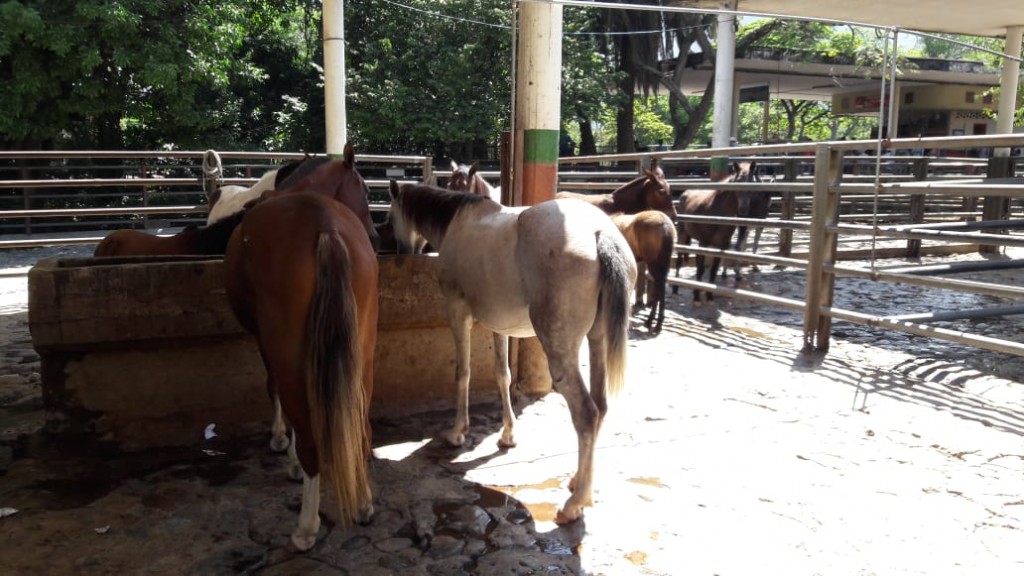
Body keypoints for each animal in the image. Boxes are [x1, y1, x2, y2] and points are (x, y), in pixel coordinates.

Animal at [223, 191, 379, 551]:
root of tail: (325, 226)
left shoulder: (266, 343)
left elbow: (274, 389)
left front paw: (282, 442)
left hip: (289, 356)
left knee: (310, 442)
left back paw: (306, 527)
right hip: (362, 358)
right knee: (362, 429)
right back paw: (364, 504)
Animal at [387, 181, 636, 525]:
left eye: (389, 216)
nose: (400, 253)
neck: (458, 219)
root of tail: (600, 235)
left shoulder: (458, 312)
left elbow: (462, 372)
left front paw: (457, 432)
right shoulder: (499, 325)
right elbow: (502, 376)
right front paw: (507, 435)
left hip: (561, 350)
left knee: (586, 413)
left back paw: (575, 505)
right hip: (596, 340)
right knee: (600, 407)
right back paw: (578, 482)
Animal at [674, 161, 760, 306]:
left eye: (752, 182)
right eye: (738, 181)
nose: (743, 209)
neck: (717, 212)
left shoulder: (721, 247)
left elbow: (713, 271)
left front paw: (709, 296)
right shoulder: (703, 243)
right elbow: (700, 269)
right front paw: (696, 297)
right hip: (682, 235)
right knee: (679, 260)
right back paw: (675, 289)